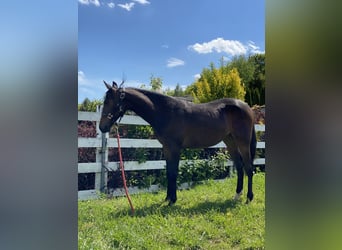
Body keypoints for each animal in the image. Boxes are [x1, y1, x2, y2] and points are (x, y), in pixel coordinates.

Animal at [99, 81, 256, 206]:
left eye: (108, 102)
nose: (102, 127)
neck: (165, 111)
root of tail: (246, 106)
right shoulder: (167, 148)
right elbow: (169, 172)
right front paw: (168, 198)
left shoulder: (175, 148)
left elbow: (174, 173)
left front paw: (172, 201)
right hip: (230, 142)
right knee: (240, 167)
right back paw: (237, 195)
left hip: (243, 142)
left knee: (249, 168)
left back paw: (249, 198)